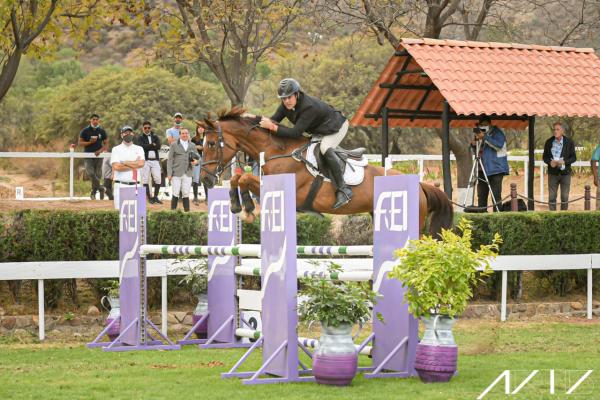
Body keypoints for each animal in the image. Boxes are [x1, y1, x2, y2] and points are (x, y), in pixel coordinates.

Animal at [199, 108, 452, 236]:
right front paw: (239, 207)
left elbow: (244, 177)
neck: (277, 150)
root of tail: (420, 185)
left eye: (211, 144)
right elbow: (237, 177)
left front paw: (247, 210)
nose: (205, 180)